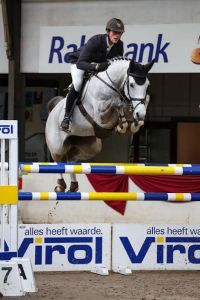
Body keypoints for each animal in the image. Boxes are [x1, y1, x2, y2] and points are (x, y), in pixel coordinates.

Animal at [45, 57, 155, 191]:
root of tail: (54, 108)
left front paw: (132, 123)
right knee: (58, 160)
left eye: (147, 85)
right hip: (57, 146)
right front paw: (122, 123)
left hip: (90, 146)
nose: (140, 114)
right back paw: (60, 185)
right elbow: (115, 104)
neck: (111, 85)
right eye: (132, 84)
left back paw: (73, 185)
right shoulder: (100, 116)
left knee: (71, 159)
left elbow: (144, 101)